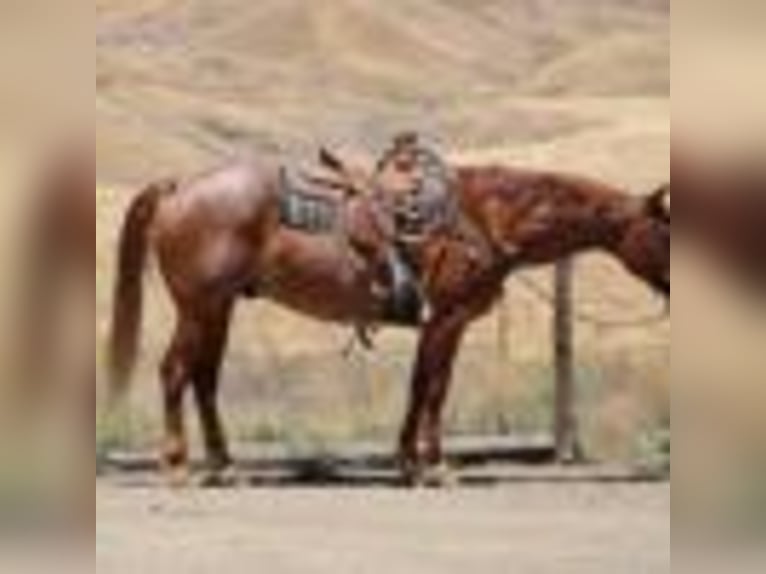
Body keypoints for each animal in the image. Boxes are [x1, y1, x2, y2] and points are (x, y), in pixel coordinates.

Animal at [107, 149, 669, 486]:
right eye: (666, 230)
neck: (485, 215)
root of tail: (177, 187)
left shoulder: (439, 324)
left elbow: (420, 387)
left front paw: (408, 464)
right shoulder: (448, 319)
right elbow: (435, 390)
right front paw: (436, 467)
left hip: (217, 308)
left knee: (204, 379)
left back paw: (224, 466)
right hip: (198, 307)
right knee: (175, 373)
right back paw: (178, 466)